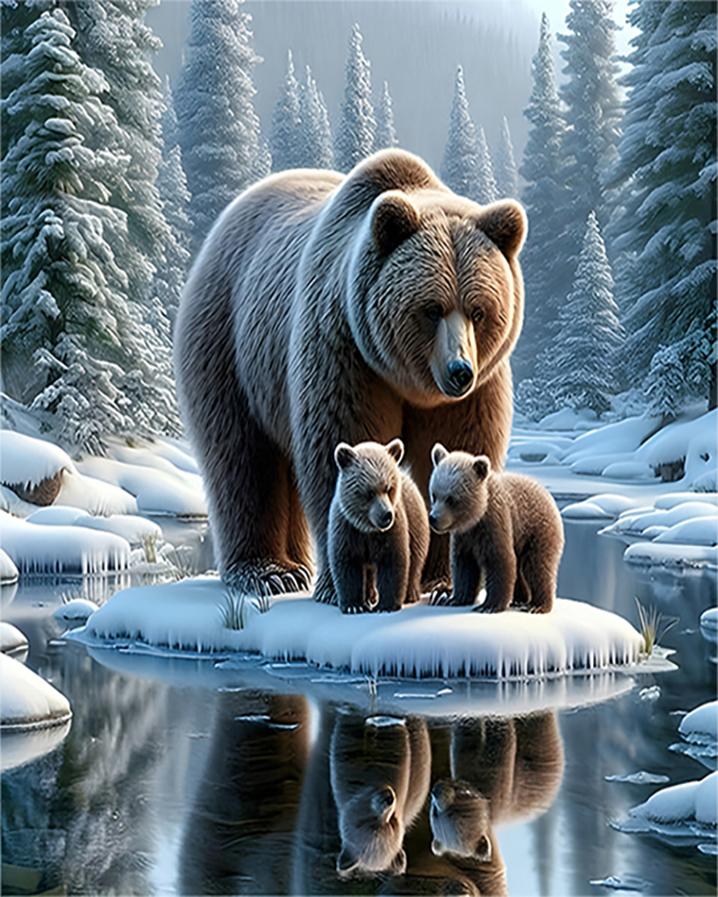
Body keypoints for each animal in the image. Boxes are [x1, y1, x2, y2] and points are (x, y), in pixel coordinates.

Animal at [328, 438, 430, 613]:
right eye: (369, 492)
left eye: (388, 488)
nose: (386, 515)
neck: (367, 528)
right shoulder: (347, 529)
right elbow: (347, 564)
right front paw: (353, 605)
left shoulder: (393, 531)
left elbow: (393, 561)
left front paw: (386, 605)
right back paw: (370, 596)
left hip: (416, 523)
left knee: (415, 560)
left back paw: (410, 594)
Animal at [428, 445, 564, 612]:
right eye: (434, 494)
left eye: (451, 499)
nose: (433, 518)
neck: (475, 517)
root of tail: (547, 494)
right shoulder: (464, 536)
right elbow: (464, 565)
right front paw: (454, 599)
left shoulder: (495, 523)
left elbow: (499, 560)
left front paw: (488, 606)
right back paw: (519, 599)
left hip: (537, 531)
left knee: (537, 566)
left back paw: (537, 605)